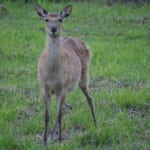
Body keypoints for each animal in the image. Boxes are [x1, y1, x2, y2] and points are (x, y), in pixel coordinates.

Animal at [34, 3, 96, 146]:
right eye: (46, 19)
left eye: (60, 19)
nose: (53, 29)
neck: (52, 74)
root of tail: (84, 43)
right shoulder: (44, 88)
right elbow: (47, 115)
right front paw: (45, 141)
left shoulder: (61, 88)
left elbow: (59, 116)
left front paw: (61, 140)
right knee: (65, 108)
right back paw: (52, 136)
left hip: (83, 76)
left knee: (89, 98)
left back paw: (96, 126)